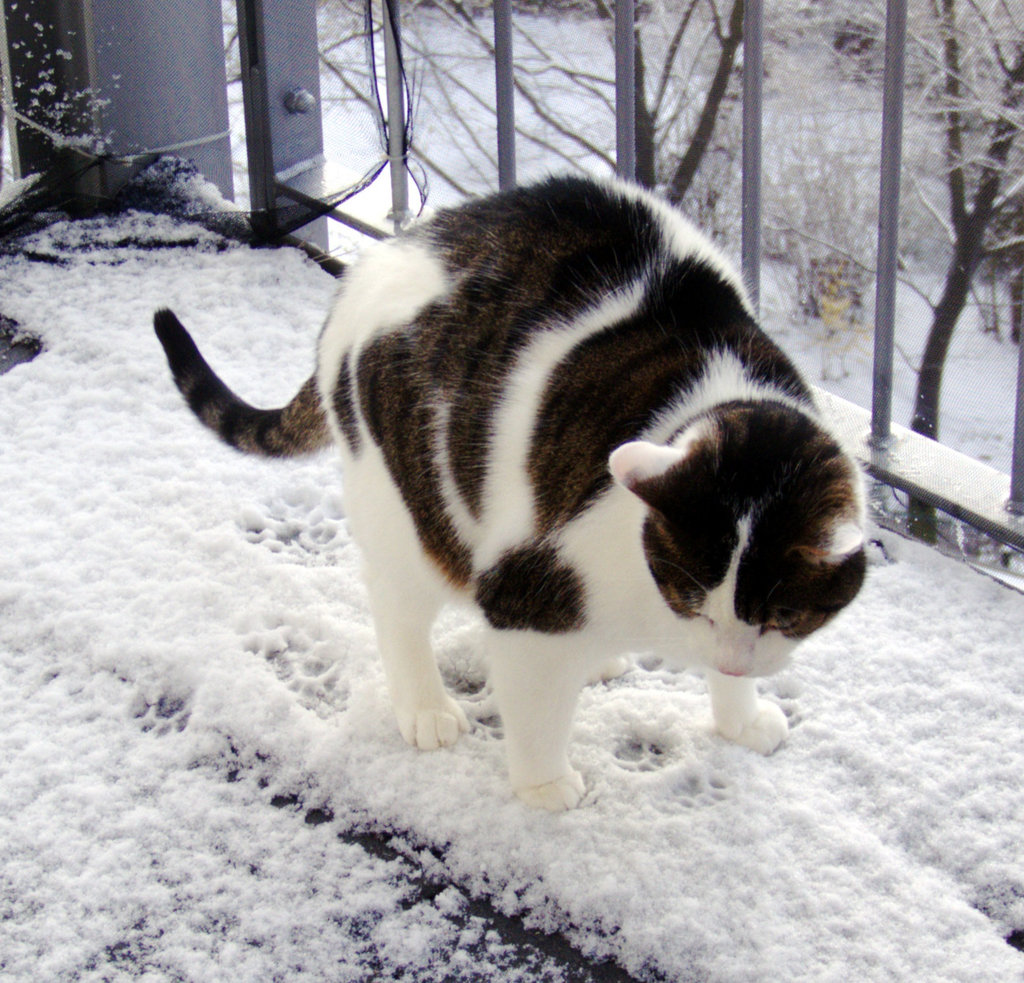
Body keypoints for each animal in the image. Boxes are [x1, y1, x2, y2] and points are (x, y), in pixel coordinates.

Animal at [155, 173, 868, 810]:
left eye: (784, 618)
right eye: (694, 600)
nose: (733, 661)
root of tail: (373, 264)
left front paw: (740, 715)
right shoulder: (529, 581)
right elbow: (535, 709)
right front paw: (544, 785)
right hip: (414, 506)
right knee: (396, 604)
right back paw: (427, 705)